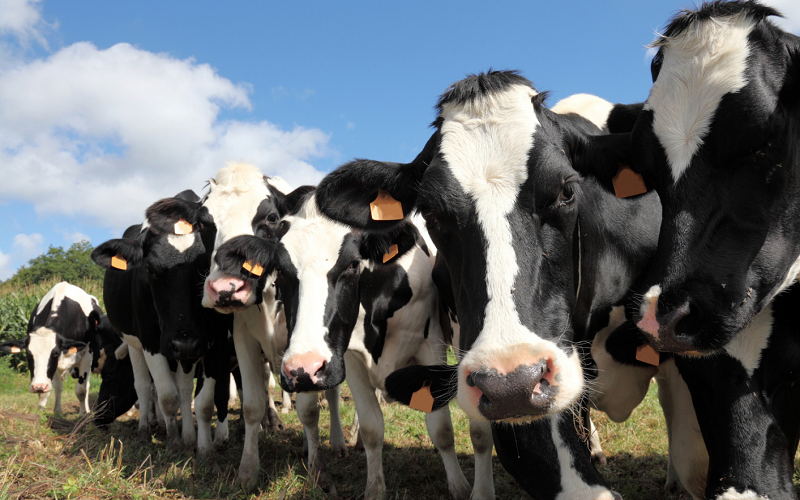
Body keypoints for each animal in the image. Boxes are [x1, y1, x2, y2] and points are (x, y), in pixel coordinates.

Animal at [0, 282, 115, 416]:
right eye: (28, 354)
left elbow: (81, 389)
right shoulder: (55, 365)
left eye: (54, 353)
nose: (38, 386)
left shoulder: (87, 355)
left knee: (86, 385)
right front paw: (53, 412)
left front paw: (82, 415)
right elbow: (54, 389)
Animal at [92, 189, 233, 456]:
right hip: (135, 344)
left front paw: (200, 445)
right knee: (144, 386)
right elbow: (167, 395)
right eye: (150, 270)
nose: (97, 417)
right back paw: (147, 428)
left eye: (206, 268)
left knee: (183, 388)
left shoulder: (213, 340)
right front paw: (174, 441)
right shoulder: (151, 341)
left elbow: (201, 399)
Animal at [211, 195, 478, 500]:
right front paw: (375, 488)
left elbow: (441, 428)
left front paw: (459, 486)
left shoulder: (430, 345)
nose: (303, 369)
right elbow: (373, 426)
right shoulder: (350, 358)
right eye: (280, 270)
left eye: (352, 264)